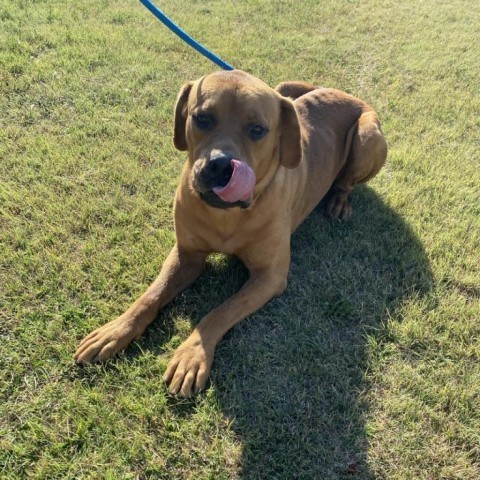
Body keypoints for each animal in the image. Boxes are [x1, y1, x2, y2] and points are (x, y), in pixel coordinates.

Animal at [76, 68, 390, 398]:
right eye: (202, 118)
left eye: (257, 129)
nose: (220, 165)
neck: (227, 216)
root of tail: (349, 95)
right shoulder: (186, 255)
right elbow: (151, 295)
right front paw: (116, 330)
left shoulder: (269, 277)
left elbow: (220, 312)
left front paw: (192, 355)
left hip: (368, 135)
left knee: (347, 181)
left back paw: (340, 200)